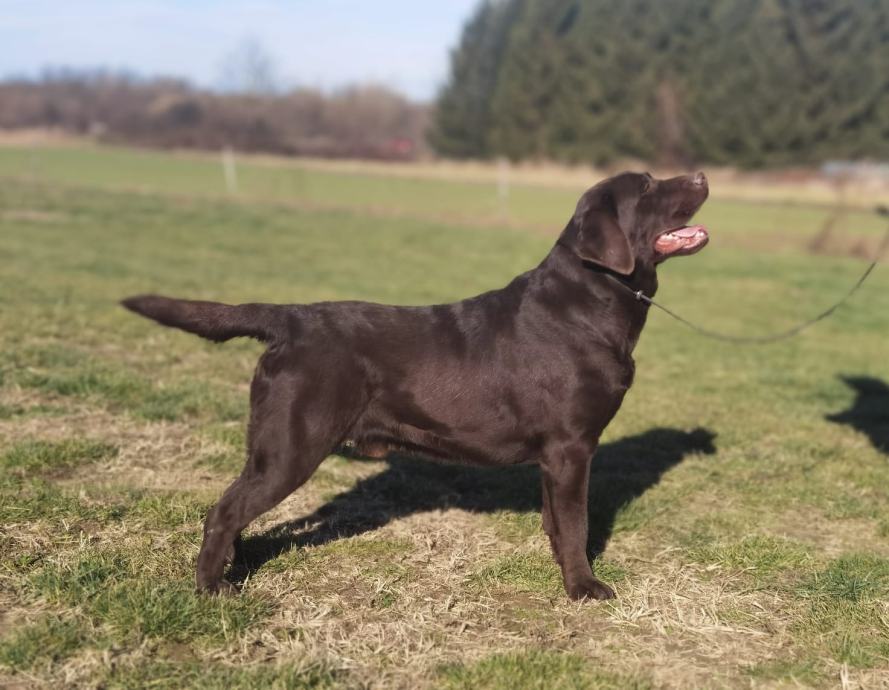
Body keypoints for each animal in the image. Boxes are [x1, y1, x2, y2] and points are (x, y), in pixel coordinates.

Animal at [122, 170, 710, 600]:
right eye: (648, 186)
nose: (701, 174)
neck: (590, 301)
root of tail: (290, 319)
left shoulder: (555, 455)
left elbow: (555, 521)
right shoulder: (571, 447)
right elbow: (577, 522)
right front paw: (584, 587)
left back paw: (234, 566)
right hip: (291, 446)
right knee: (224, 509)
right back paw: (212, 588)